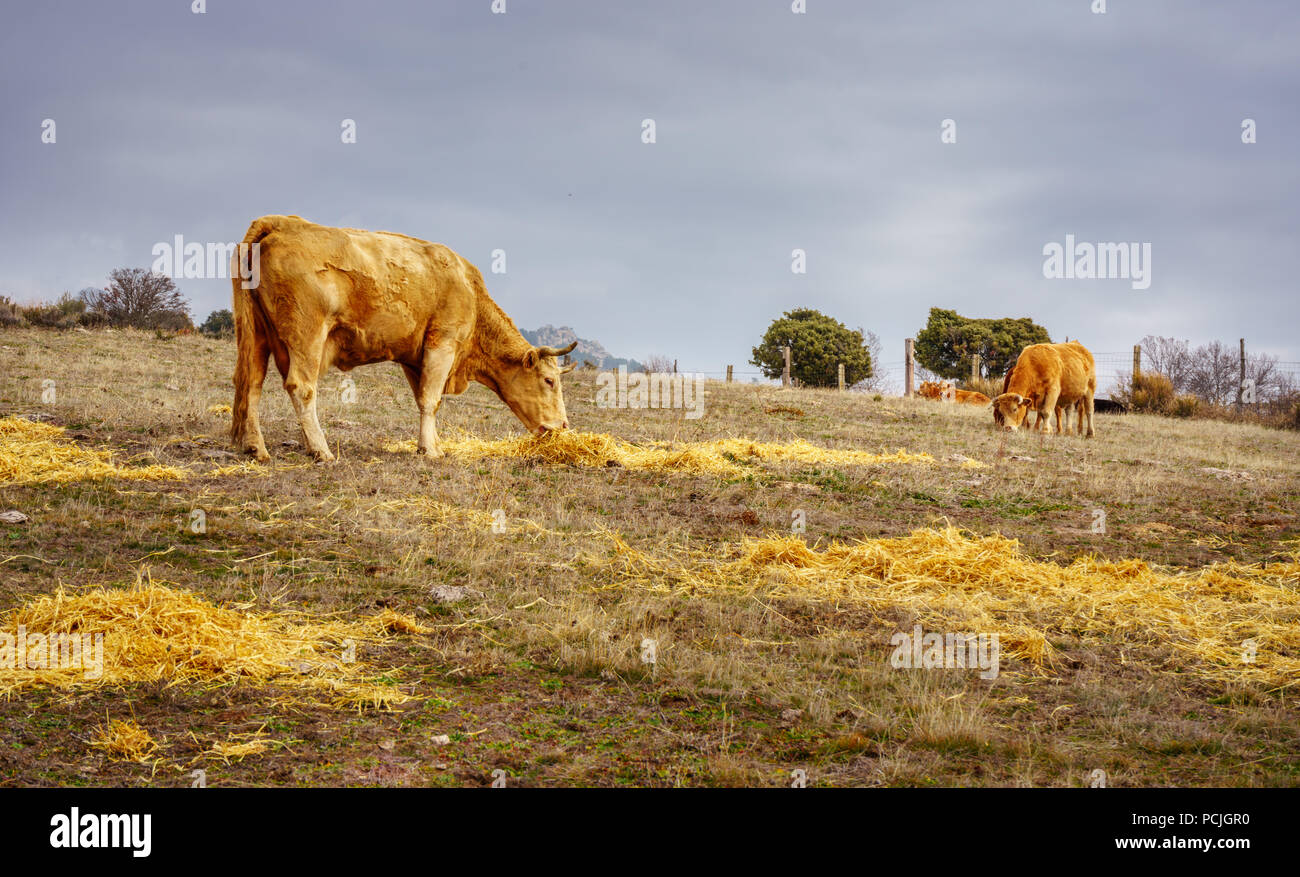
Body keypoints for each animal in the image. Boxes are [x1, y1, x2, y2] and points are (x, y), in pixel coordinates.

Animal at [231, 215, 577, 462]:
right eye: (549, 380)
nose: (563, 426)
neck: (469, 291)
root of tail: (282, 222)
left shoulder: (415, 357)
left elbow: (425, 399)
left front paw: (432, 443)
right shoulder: (443, 343)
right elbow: (431, 399)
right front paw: (430, 450)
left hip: (256, 336)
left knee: (251, 383)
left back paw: (256, 448)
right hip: (308, 335)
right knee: (301, 387)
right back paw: (321, 450)